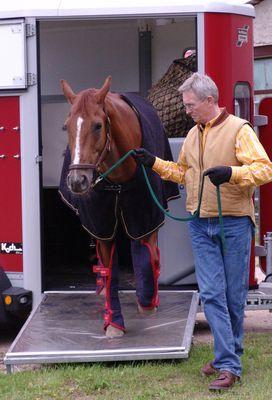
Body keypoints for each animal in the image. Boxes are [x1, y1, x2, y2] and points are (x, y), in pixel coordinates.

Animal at [59, 77, 175, 338]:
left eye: (98, 126)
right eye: (66, 126)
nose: (78, 181)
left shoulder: (145, 218)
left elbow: (146, 256)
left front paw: (147, 303)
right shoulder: (103, 227)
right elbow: (109, 269)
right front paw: (113, 323)